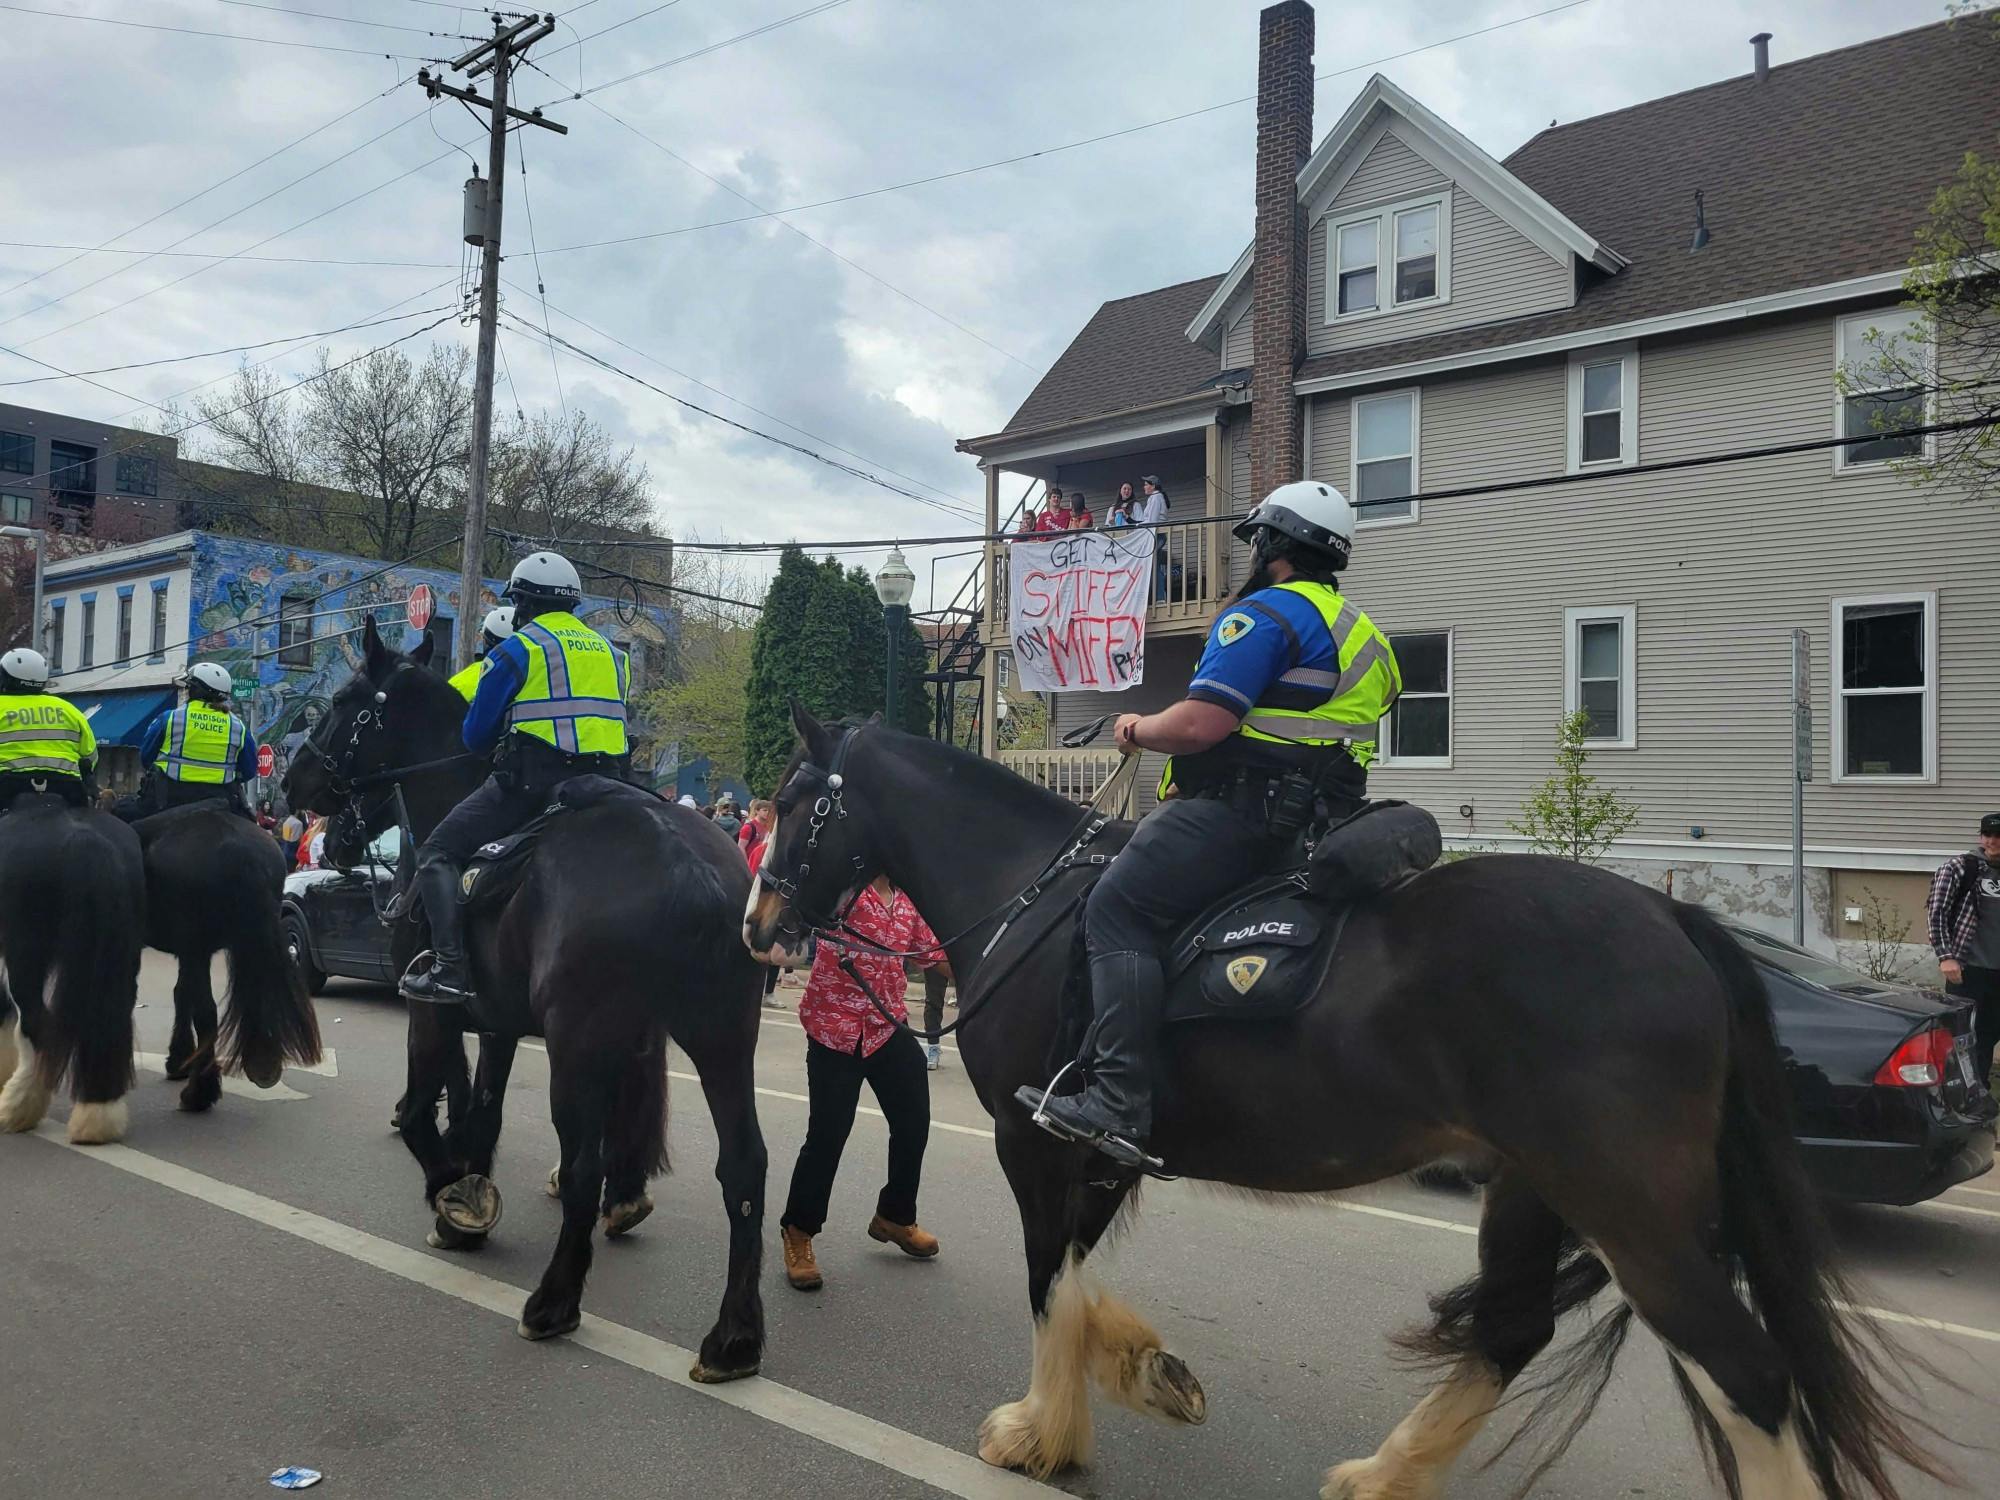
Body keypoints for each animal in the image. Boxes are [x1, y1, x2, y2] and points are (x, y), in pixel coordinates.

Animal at [286, 624, 768, 1376]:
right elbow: (481, 1112)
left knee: (583, 1169)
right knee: (743, 1165)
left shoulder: (431, 1010)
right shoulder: (500, 1026)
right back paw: (734, 1336)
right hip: (720, 1039)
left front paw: (453, 1198)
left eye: (343, 702)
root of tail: (690, 866)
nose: (291, 782)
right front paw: (465, 1199)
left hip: (581, 1045)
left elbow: (424, 1114)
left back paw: (555, 1301)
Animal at [748, 712, 1936, 1500]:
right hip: (1532, 1187)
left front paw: (1039, 1433)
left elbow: (1049, 1287)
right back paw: (1378, 1475)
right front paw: (1146, 1374)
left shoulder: (1033, 1140)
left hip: (1631, 1212)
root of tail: (1674, 921)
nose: (760, 925)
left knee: (1748, 1373)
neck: (1028, 897)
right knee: (1511, 1330)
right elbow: (1079, 1287)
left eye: (796, 801)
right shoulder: (1103, 1153)